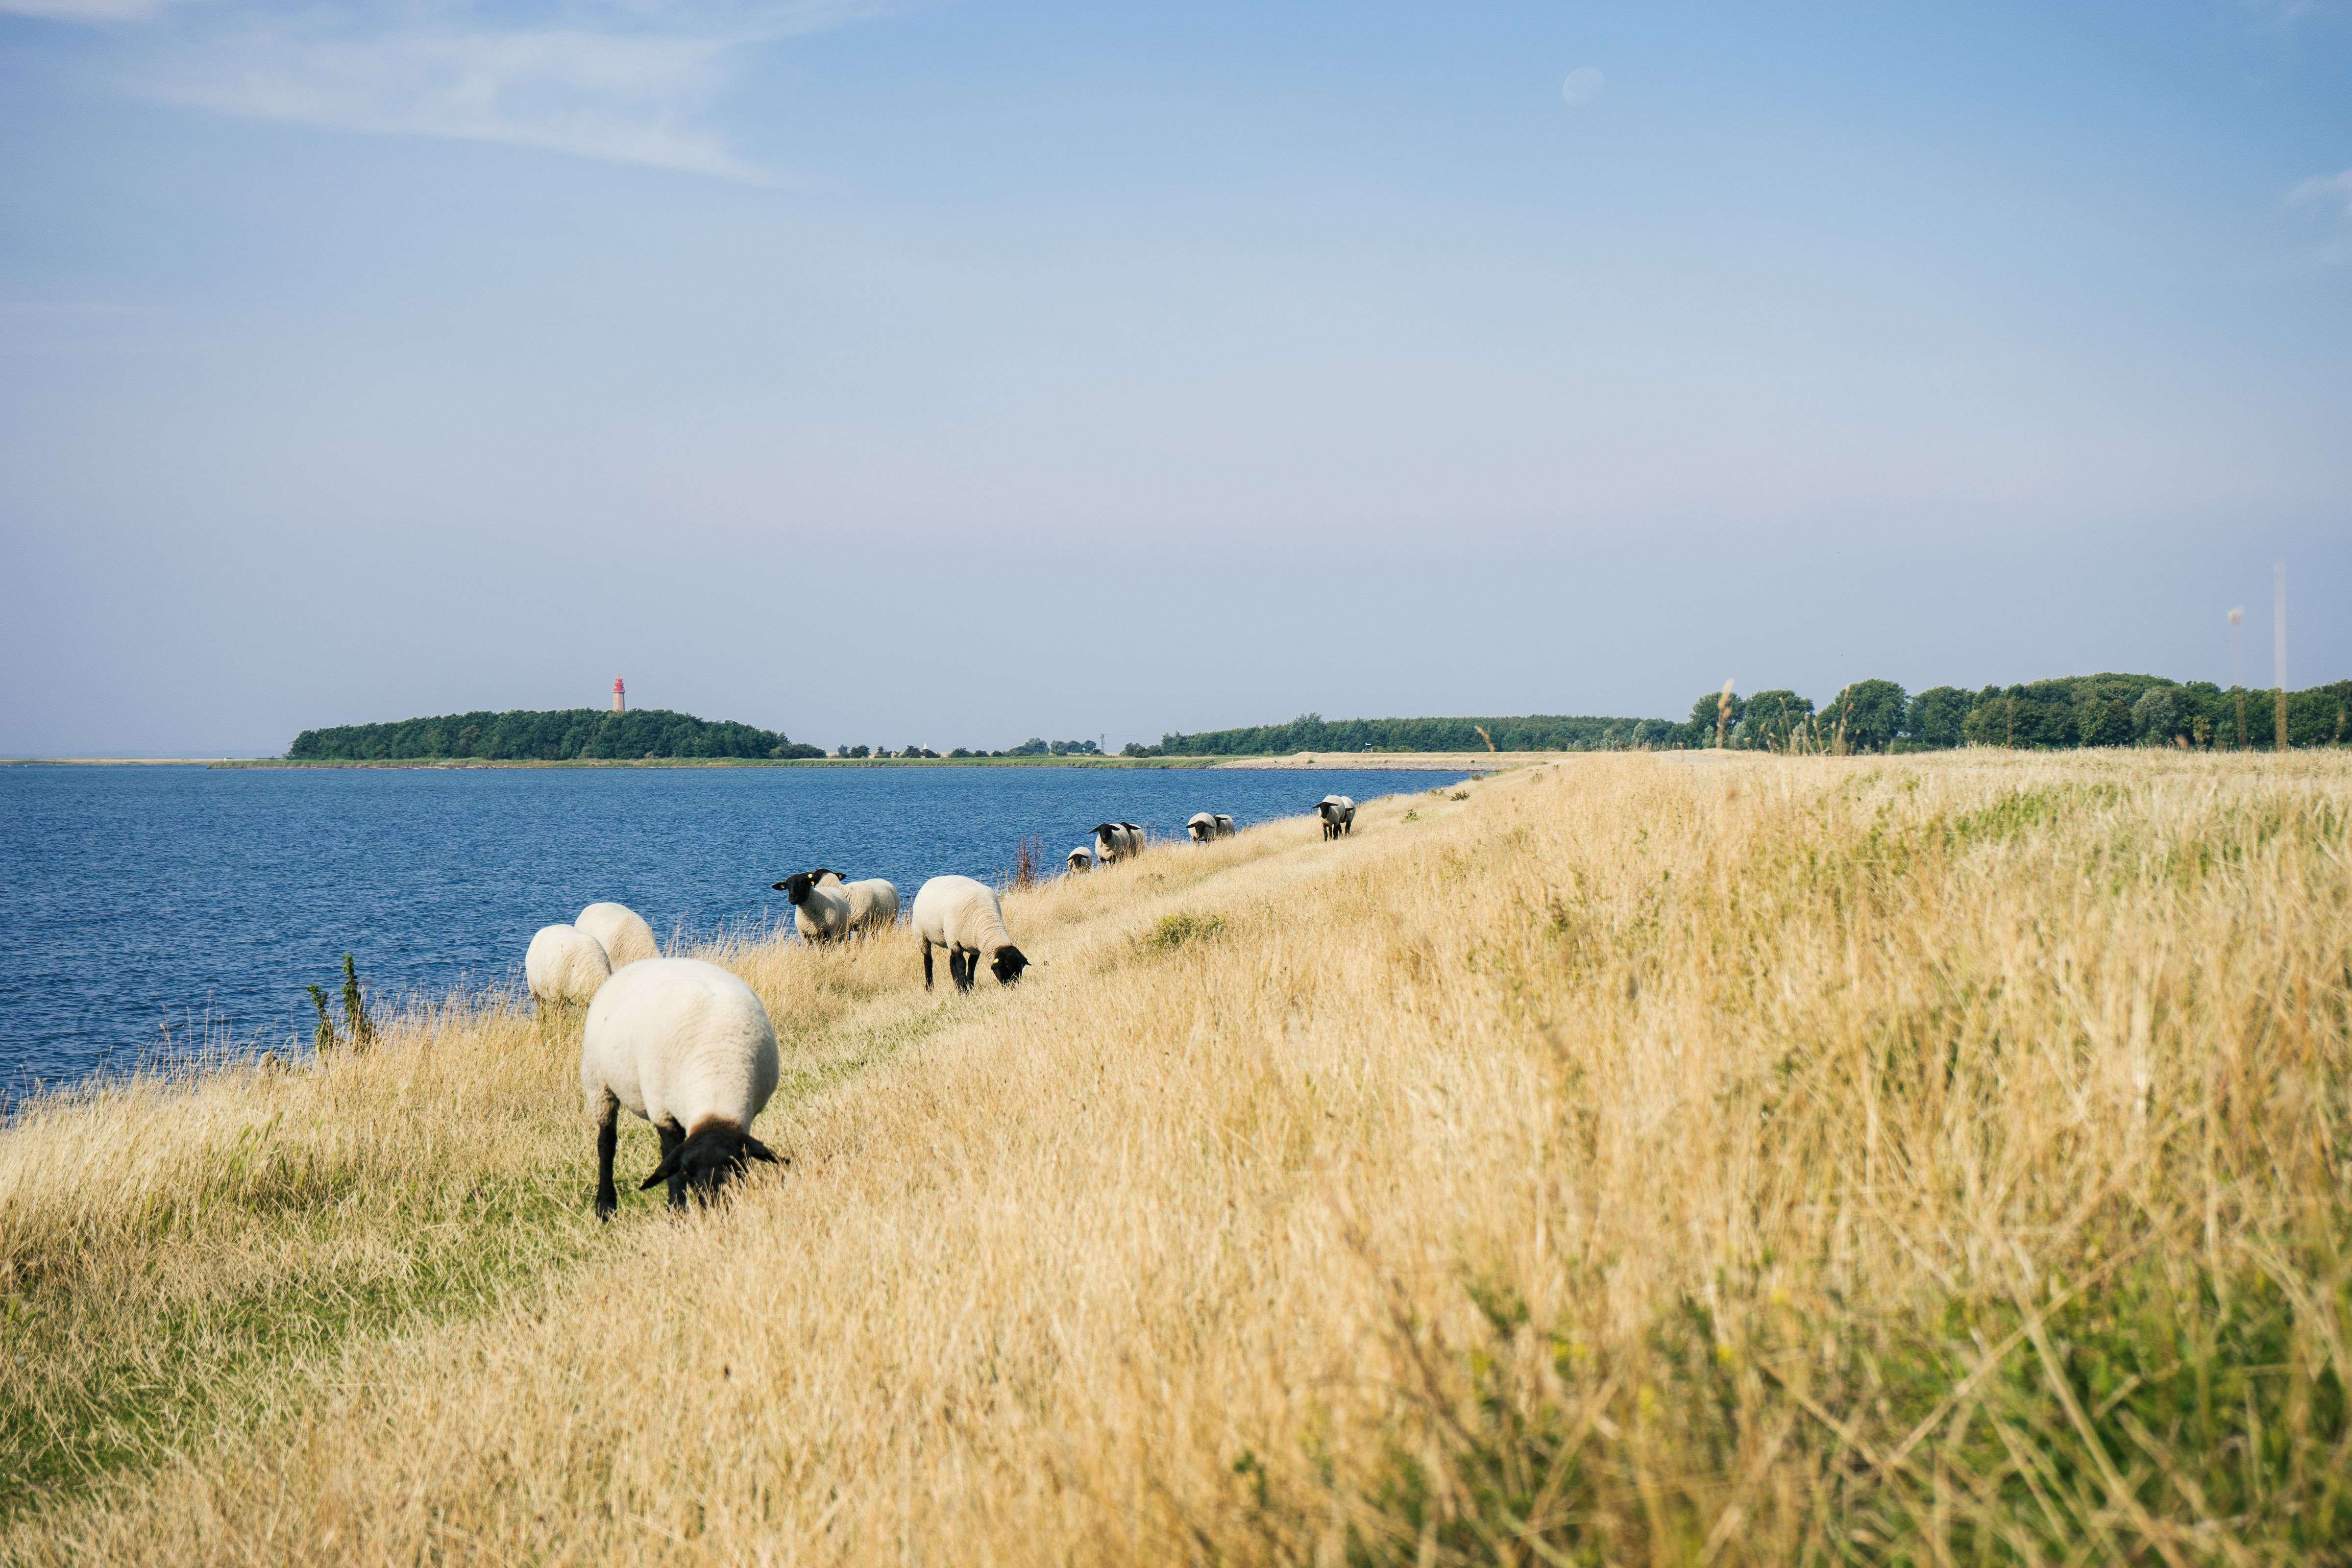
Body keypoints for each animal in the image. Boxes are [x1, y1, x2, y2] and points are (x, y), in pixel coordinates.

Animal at [583, 950, 785, 1222]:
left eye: (736, 1167)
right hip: (598, 1083)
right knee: (606, 1143)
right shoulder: (664, 1114)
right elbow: (672, 1166)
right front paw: (678, 1213)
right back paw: (605, 1207)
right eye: (690, 1173)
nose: (716, 1208)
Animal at [771, 870, 856, 945]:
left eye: (802, 883)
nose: (792, 897)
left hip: (844, 930)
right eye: (787, 885)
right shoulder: (805, 935)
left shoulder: (830, 932)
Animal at [907, 870, 1030, 992]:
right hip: (922, 934)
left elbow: (972, 964)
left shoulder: (975, 944)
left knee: (951, 962)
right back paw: (929, 988)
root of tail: (931, 881)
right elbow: (962, 965)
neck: (985, 917)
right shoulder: (956, 942)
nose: (1013, 987)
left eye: (1021, 968)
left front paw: (970, 986)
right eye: (1007, 967)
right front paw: (964, 990)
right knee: (928, 960)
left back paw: (955, 985)